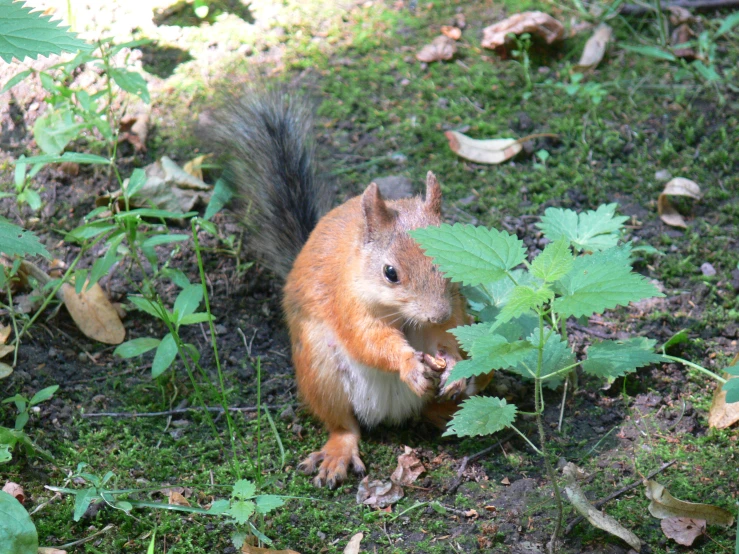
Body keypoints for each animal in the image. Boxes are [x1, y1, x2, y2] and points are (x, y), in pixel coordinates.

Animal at [205, 90, 494, 488]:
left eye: (452, 257)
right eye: (390, 272)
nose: (437, 312)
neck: (403, 315)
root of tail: (394, 414)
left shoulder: (456, 308)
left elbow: (449, 335)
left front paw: (451, 364)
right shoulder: (349, 304)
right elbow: (368, 340)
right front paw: (408, 363)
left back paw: (461, 410)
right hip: (320, 370)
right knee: (343, 425)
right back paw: (338, 453)